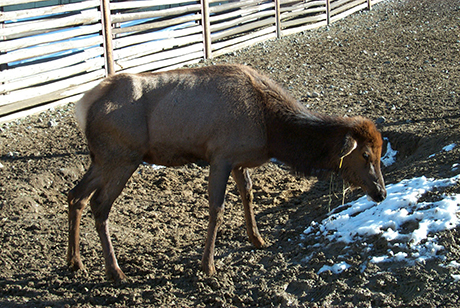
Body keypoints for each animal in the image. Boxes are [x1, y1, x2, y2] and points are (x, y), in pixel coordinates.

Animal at [66, 63, 386, 280]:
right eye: (365, 154)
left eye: (381, 153)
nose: (381, 193)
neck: (271, 130)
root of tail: (83, 107)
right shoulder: (220, 155)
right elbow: (217, 208)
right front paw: (207, 265)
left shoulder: (239, 161)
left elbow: (248, 196)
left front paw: (258, 240)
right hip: (123, 156)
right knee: (99, 204)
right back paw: (115, 271)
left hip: (101, 159)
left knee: (75, 196)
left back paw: (75, 261)